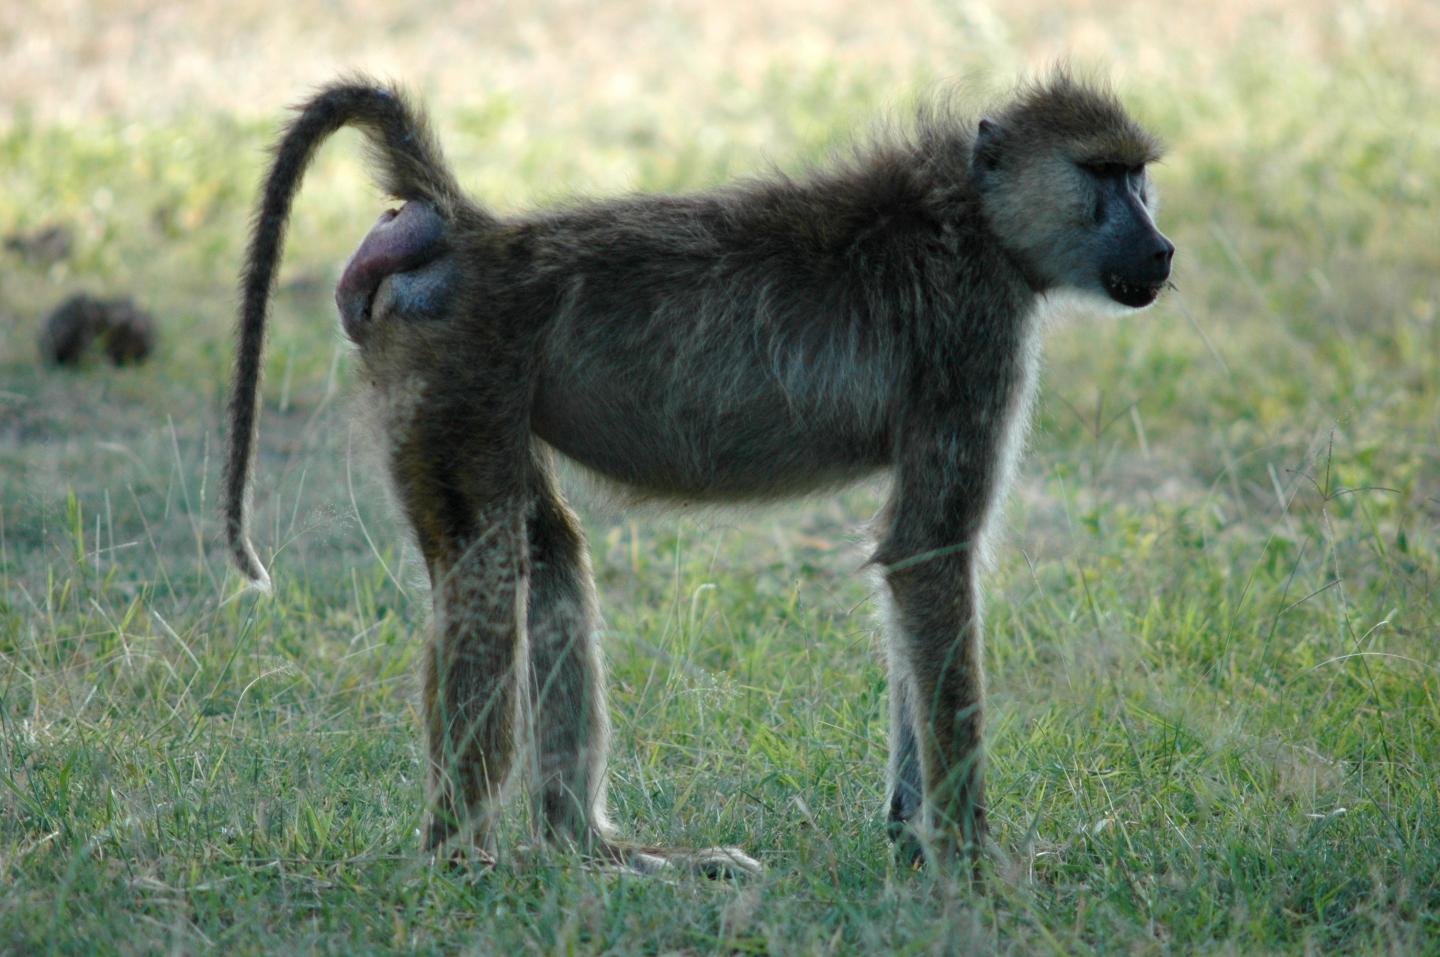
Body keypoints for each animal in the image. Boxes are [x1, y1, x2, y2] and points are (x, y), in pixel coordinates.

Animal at [223, 71, 1173, 878]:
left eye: (1139, 178)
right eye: (1101, 174)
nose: (1163, 250)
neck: (974, 216)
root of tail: (473, 233)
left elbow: (917, 573)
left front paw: (912, 833)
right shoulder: (973, 337)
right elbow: (928, 552)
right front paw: (974, 865)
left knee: (549, 555)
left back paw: (596, 850)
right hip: (455, 370)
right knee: (485, 562)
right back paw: (462, 861)